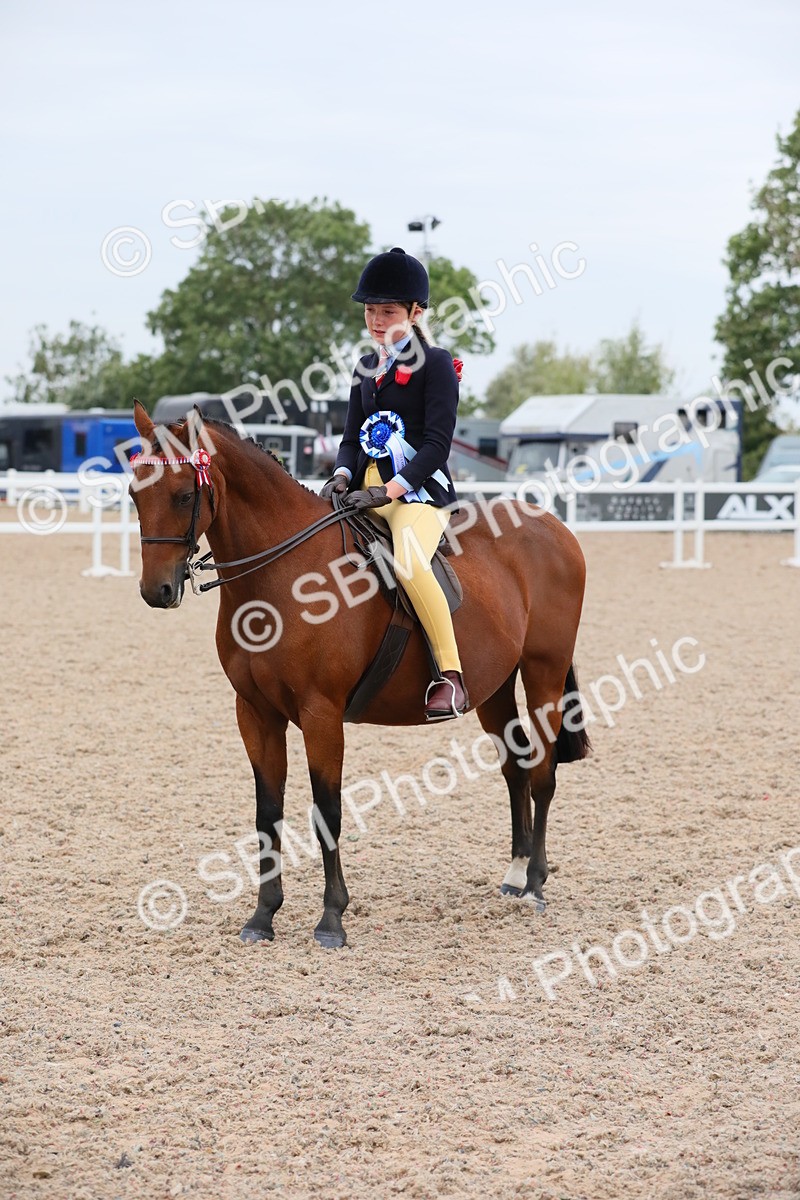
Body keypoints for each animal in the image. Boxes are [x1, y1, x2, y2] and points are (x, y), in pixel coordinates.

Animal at [129, 401, 590, 948]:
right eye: (134, 493)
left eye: (183, 495)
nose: (156, 591)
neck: (282, 575)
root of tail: (554, 528)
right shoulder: (255, 712)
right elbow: (268, 813)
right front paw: (263, 917)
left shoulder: (321, 713)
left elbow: (327, 812)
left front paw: (331, 919)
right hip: (493, 689)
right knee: (515, 768)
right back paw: (516, 877)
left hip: (544, 675)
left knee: (542, 773)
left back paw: (537, 883)